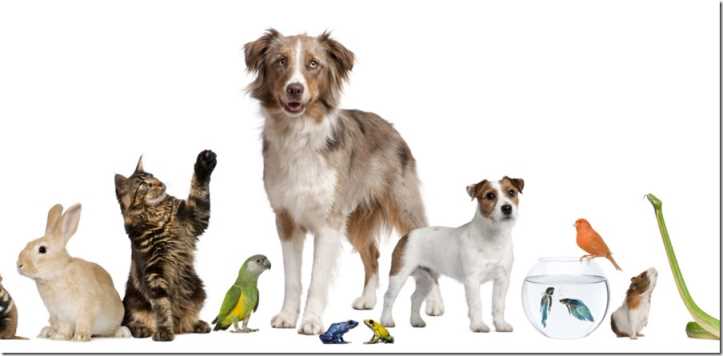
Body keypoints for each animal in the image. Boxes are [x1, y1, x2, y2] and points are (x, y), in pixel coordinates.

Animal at [17, 204, 131, 340]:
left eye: (42, 249)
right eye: (28, 243)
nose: (19, 265)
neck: (58, 273)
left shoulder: (86, 309)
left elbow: (83, 323)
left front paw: (80, 337)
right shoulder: (61, 315)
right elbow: (65, 328)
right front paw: (60, 336)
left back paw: (123, 332)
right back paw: (47, 332)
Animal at [114, 149, 216, 340]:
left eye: (153, 176)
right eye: (144, 185)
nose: (159, 184)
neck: (159, 216)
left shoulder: (195, 216)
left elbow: (199, 188)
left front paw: (204, 162)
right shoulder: (153, 270)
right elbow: (162, 306)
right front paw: (164, 331)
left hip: (197, 289)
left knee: (186, 321)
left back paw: (197, 324)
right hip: (132, 301)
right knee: (130, 321)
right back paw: (142, 329)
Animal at [246, 29, 444, 334]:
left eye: (313, 64)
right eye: (281, 61)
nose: (295, 89)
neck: (298, 134)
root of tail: (391, 127)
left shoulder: (329, 222)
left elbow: (316, 279)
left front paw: (311, 321)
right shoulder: (286, 220)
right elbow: (292, 279)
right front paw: (288, 317)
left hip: (403, 206)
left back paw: (435, 304)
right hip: (355, 218)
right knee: (373, 253)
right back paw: (368, 299)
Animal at [378, 177, 528, 332]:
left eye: (512, 192)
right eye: (490, 195)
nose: (507, 208)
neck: (493, 237)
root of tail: (408, 234)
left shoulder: (502, 280)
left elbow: (498, 305)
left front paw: (500, 325)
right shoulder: (472, 281)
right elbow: (476, 305)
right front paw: (478, 325)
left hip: (427, 280)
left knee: (415, 298)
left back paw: (416, 321)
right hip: (399, 275)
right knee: (388, 297)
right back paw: (386, 321)